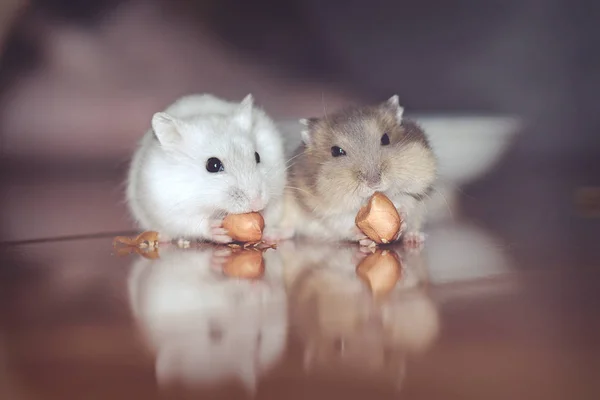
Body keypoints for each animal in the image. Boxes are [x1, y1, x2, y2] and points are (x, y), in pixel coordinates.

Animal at [125, 94, 288, 242]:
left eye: (257, 156)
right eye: (212, 165)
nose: (257, 203)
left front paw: (264, 219)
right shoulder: (172, 209)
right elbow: (194, 223)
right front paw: (218, 231)